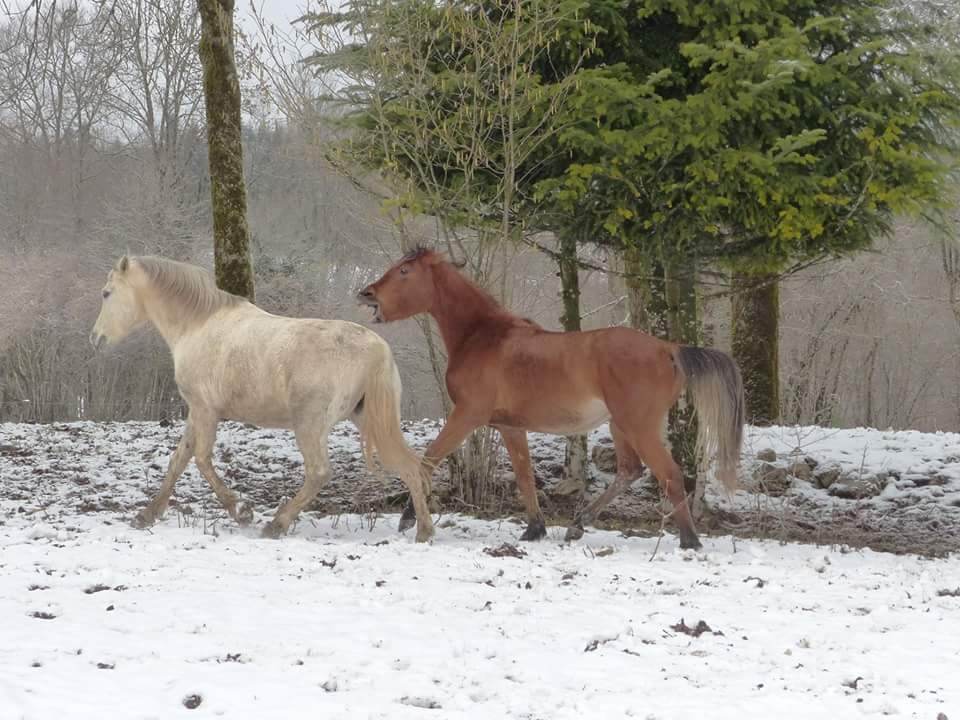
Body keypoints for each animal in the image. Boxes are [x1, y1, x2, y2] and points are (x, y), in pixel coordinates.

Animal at [90, 255, 434, 542]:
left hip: (310, 426)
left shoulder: (205, 409)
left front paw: (241, 511)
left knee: (319, 473)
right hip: (369, 420)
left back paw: (276, 525)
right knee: (410, 466)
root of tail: (377, 349)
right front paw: (146, 515)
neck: (198, 325)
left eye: (106, 293)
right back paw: (424, 532)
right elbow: (179, 459)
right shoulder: (196, 412)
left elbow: (201, 460)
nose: (96, 338)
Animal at [357, 247, 744, 549]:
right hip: (621, 426)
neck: (482, 337)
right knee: (629, 470)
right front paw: (534, 528)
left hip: (638, 425)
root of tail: (668, 348)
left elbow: (427, 460)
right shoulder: (510, 427)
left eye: (404, 270)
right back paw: (577, 526)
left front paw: (408, 519)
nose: (367, 294)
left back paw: (689, 541)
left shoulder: (467, 415)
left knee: (669, 474)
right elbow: (525, 476)